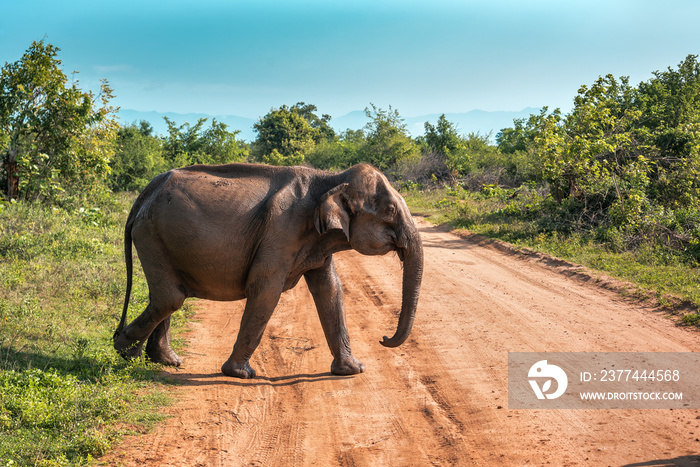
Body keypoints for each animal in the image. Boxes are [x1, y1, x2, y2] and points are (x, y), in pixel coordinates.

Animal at [112, 163, 424, 378]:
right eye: (390, 211)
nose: (384, 339)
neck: (330, 179)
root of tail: (145, 193)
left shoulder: (316, 241)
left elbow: (330, 289)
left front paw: (353, 370)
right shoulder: (281, 232)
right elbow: (266, 290)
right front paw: (240, 374)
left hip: (159, 236)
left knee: (169, 296)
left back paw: (165, 361)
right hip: (151, 234)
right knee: (170, 297)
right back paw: (124, 351)